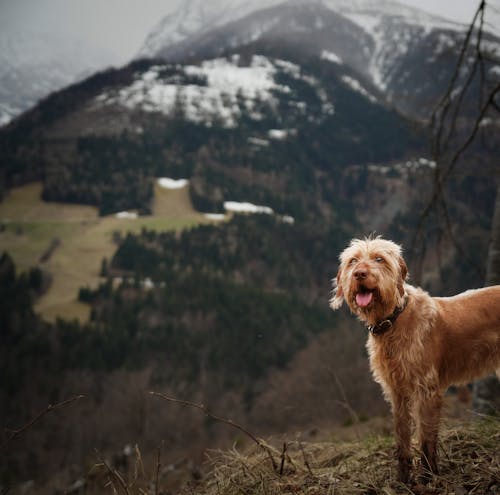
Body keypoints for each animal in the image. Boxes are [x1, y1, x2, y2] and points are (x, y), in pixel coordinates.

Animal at [330, 237, 498, 484]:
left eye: (379, 259)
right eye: (353, 260)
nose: (359, 273)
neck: (393, 321)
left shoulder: (426, 390)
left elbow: (426, 438)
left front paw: (428, 477)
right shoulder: (397, 391)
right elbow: (402, 436)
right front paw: (403, 478)